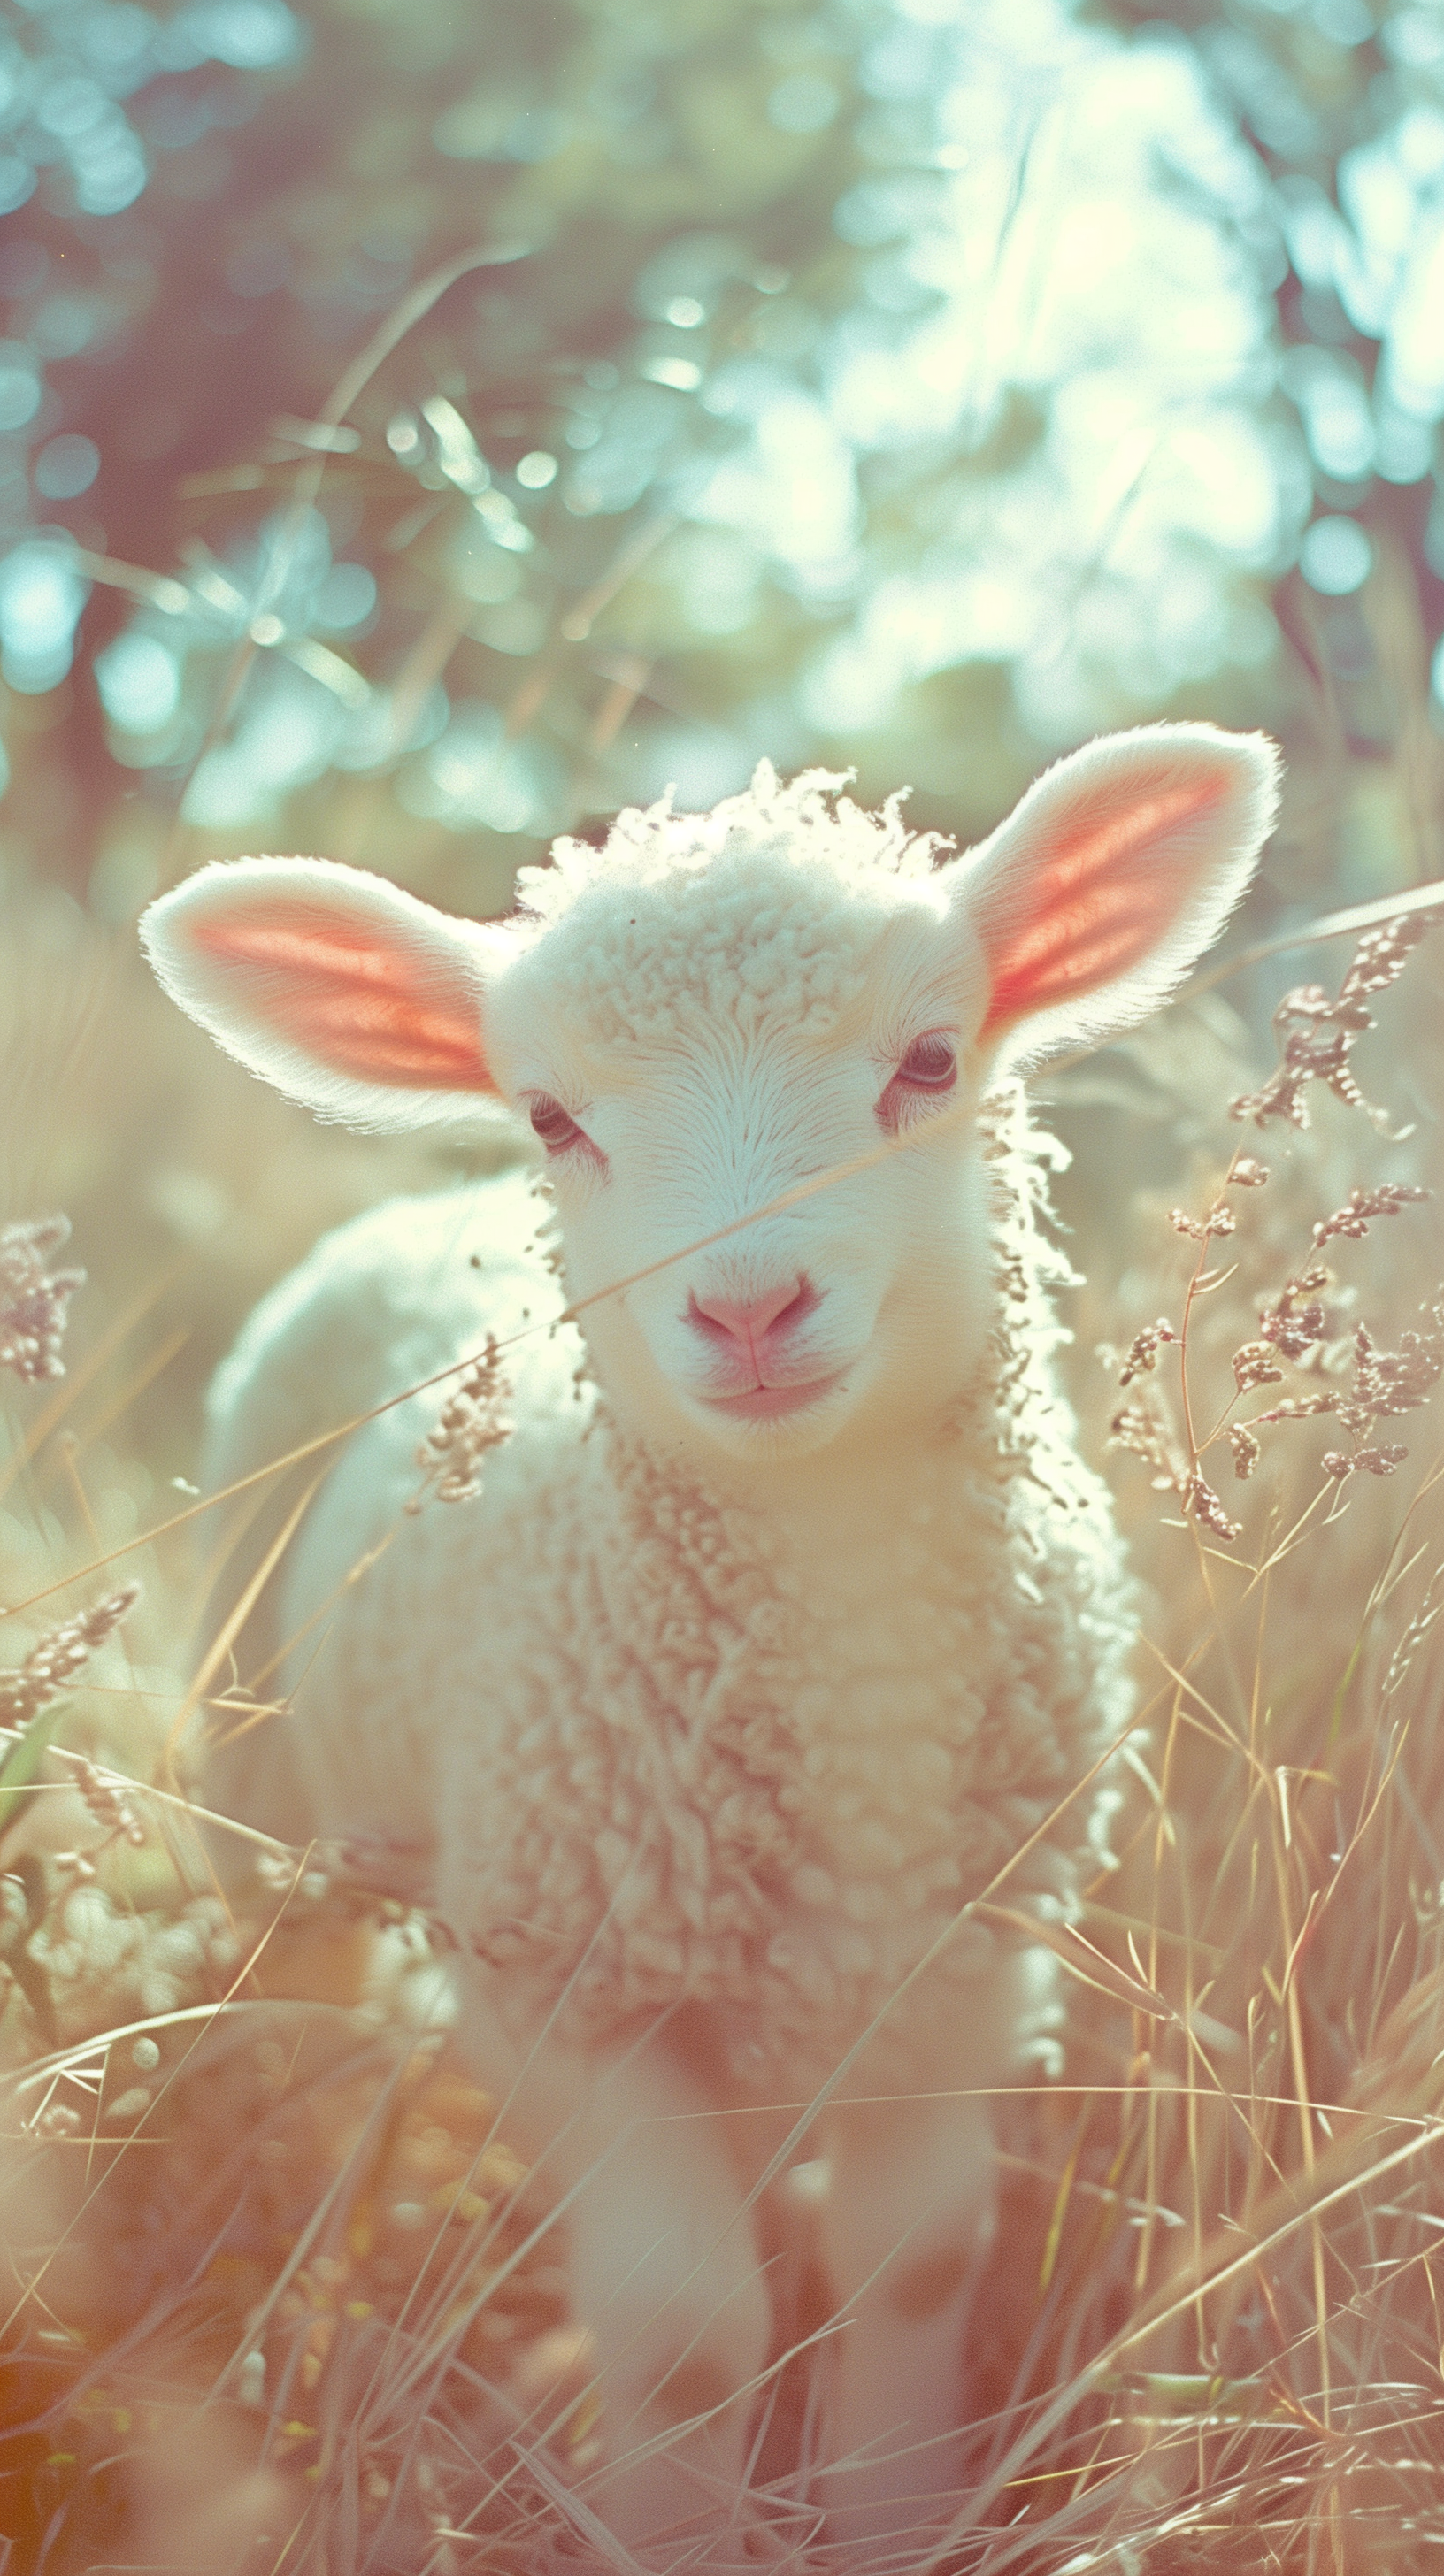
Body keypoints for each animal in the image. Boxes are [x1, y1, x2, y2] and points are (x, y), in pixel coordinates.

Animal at [140, 725, 1280, 2567]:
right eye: (554, 1116)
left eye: (931, 1057)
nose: (745, 1308)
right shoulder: (561, 1978)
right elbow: (684, 2331)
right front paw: (673, 2521)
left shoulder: (966, 1956)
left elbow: (916, 2265)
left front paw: (892, 2515)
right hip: (266, 1802)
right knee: (287, 2010)